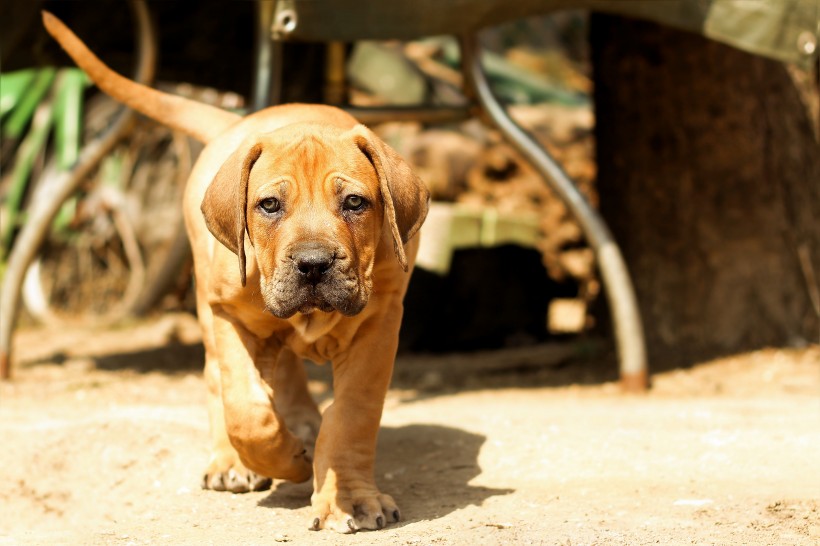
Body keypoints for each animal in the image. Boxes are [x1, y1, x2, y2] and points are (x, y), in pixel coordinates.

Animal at [44, 13, 430, 532]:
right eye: (269, 205)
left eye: (354, 203)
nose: (313, 264)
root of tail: (233, 122)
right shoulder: (229, 315)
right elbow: (246, 411)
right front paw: (286, 458)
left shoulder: (378, 323)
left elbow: (352, 415)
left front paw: (348, 498)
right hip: (209, 307)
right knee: (219, 381)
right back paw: (234, 461)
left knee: (287, 371)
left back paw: (302, 423)